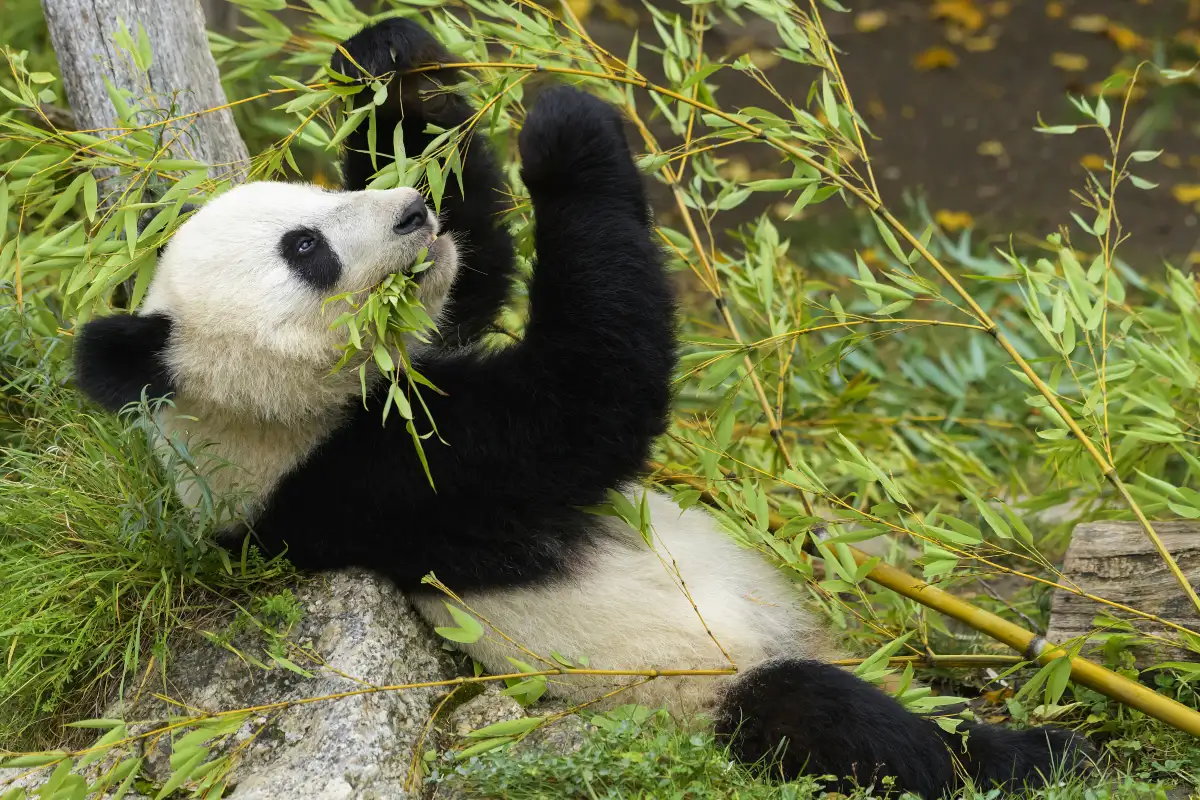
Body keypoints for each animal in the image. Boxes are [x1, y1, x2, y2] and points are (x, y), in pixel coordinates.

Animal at [72, 17, 1091, 798]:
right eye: (306, 249)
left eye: (321, 196)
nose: (409, 214)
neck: (256, 420)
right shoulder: (381, 475)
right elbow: (587, 404)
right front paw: (562, 132)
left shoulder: (418, 370)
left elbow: (477, 273)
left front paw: (391, 68)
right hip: (694, 687)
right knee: (840, 723)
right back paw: (1030, 750)